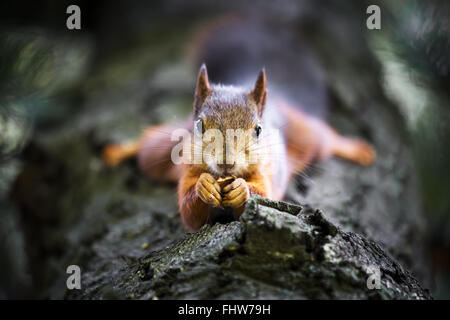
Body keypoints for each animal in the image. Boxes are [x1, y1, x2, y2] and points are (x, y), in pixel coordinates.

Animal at [103, 64, 376, 230]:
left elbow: (265, 196)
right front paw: (204, 186)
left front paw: (242, 190)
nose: (226, 163)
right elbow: (189, 212)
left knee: (327, 137)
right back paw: (119, 151)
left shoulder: (268, 172)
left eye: (258, 130)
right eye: (200, 125)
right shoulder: (187, 170)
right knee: (148, 146)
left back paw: (356, 149)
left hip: (307, 137)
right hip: (160, 153)